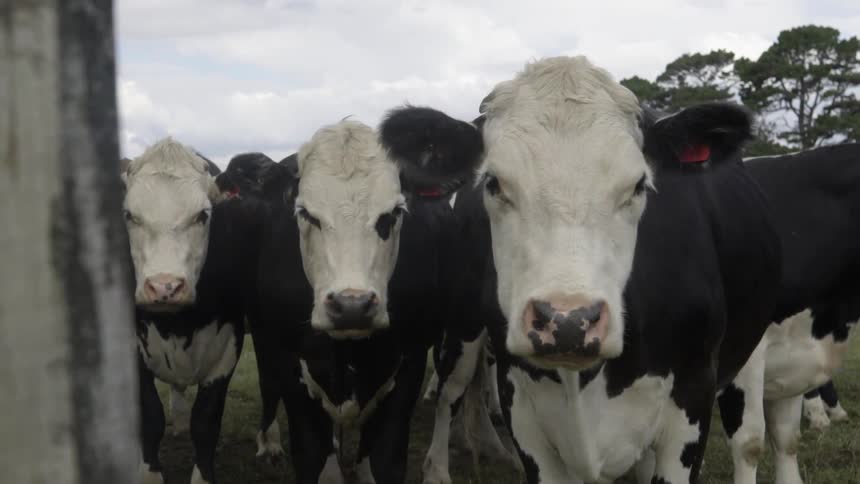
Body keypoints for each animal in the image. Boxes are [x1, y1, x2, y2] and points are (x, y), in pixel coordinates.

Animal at [124, 138, 258, 484]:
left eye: (203, 215)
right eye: (129, 215)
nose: (165, 287)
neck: (179, 325)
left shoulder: (226, 351)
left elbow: (206, 424)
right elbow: (151, 418)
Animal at [377, 55, 782, 483]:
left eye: (639, 185)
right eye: (494, 182)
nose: (568, 321)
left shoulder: (694, 394)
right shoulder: (521, 405)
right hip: (461, 322)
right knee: (450, 391)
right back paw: (439, 467)